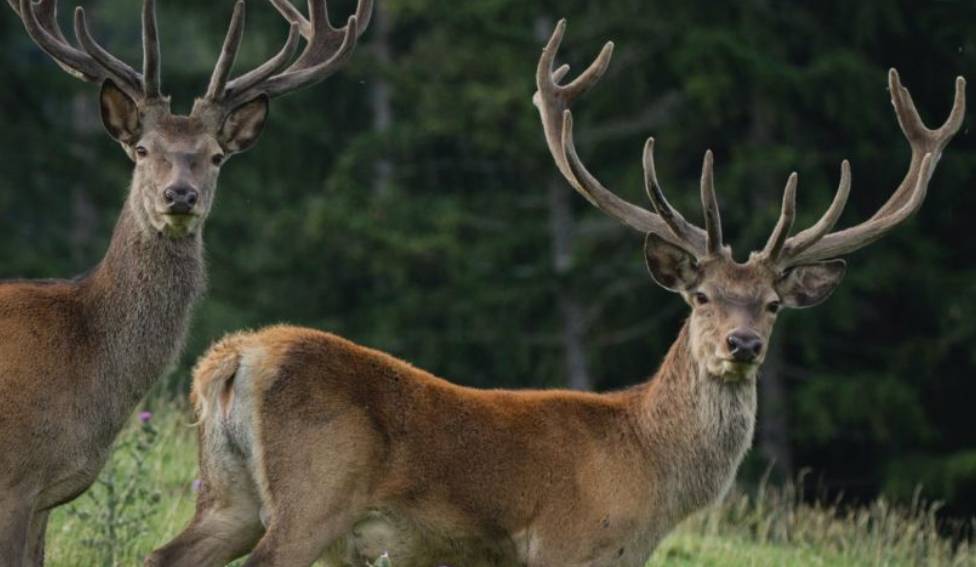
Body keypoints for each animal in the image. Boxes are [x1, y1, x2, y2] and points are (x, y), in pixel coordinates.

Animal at [147, 19, 965, 567]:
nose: (743, 344)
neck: (645, 469)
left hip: (227, 493)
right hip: (313, 495)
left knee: (164, 554)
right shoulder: (568, 542)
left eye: (771, 304)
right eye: (701, 297)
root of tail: (233, 358)